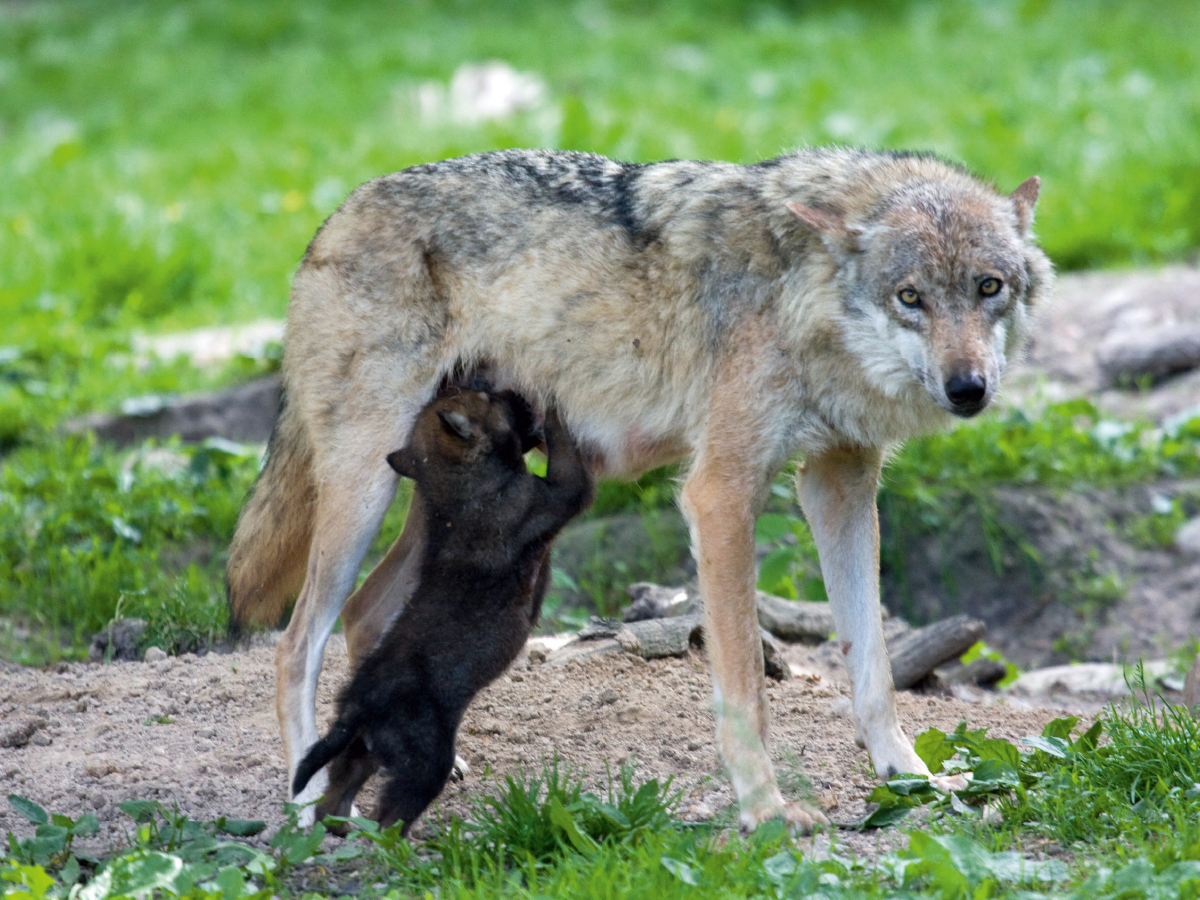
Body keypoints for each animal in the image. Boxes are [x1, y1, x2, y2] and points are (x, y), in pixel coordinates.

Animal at [290, 393, 590, 840]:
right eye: (492, 398)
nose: (515, 393)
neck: (454, 482)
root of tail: (358, 707)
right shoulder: (560, 492)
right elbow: (567, 453)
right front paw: (554, 407)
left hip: (361, 755)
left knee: (333, 806)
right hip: (426, 763)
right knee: (390, 821)